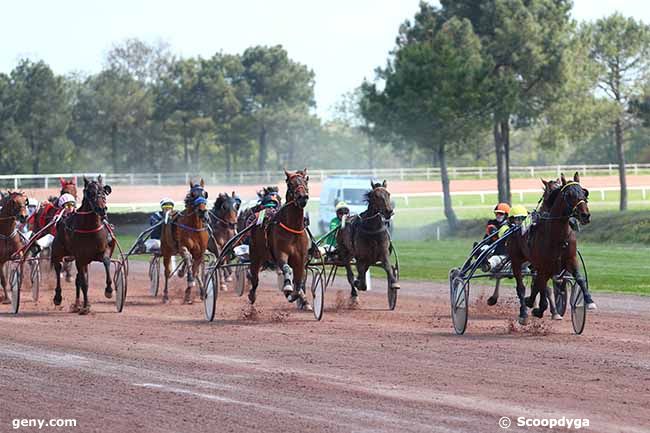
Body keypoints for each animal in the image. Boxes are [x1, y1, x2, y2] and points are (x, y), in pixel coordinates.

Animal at [50, 176, 113, 314]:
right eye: (90, 193)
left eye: (103, 191)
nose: (102, 209)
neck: (90, 228)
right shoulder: (80, 258)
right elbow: (84, 282)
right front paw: (85, 307)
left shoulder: (101, 251)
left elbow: (106, 261)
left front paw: (109, 290)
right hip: (58, 250)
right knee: (58, 268)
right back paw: (58, 297)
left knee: (78, 278)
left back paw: (77, 304)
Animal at [247, 168, 310, 308]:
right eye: (290, 184)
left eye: (306, 181)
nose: (302, 197)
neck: (293, 227)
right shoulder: (281, 252)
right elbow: (286, 268)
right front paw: (287, 287)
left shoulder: (300, 258)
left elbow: (299, 281)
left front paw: (298, 296)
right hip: (255, 255)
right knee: (254, 278)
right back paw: (252, 295)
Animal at [504, 170, 588, 322]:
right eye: (569, 195)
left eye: (584, 193)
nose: (585, 215)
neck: (557, 236)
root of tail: (515, 226)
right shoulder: (543, 265)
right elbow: (542, 288)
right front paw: (536, 307)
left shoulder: (565, 261)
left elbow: (573, 279)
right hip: (516, 261)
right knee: (521, 287)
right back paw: (523, 312)